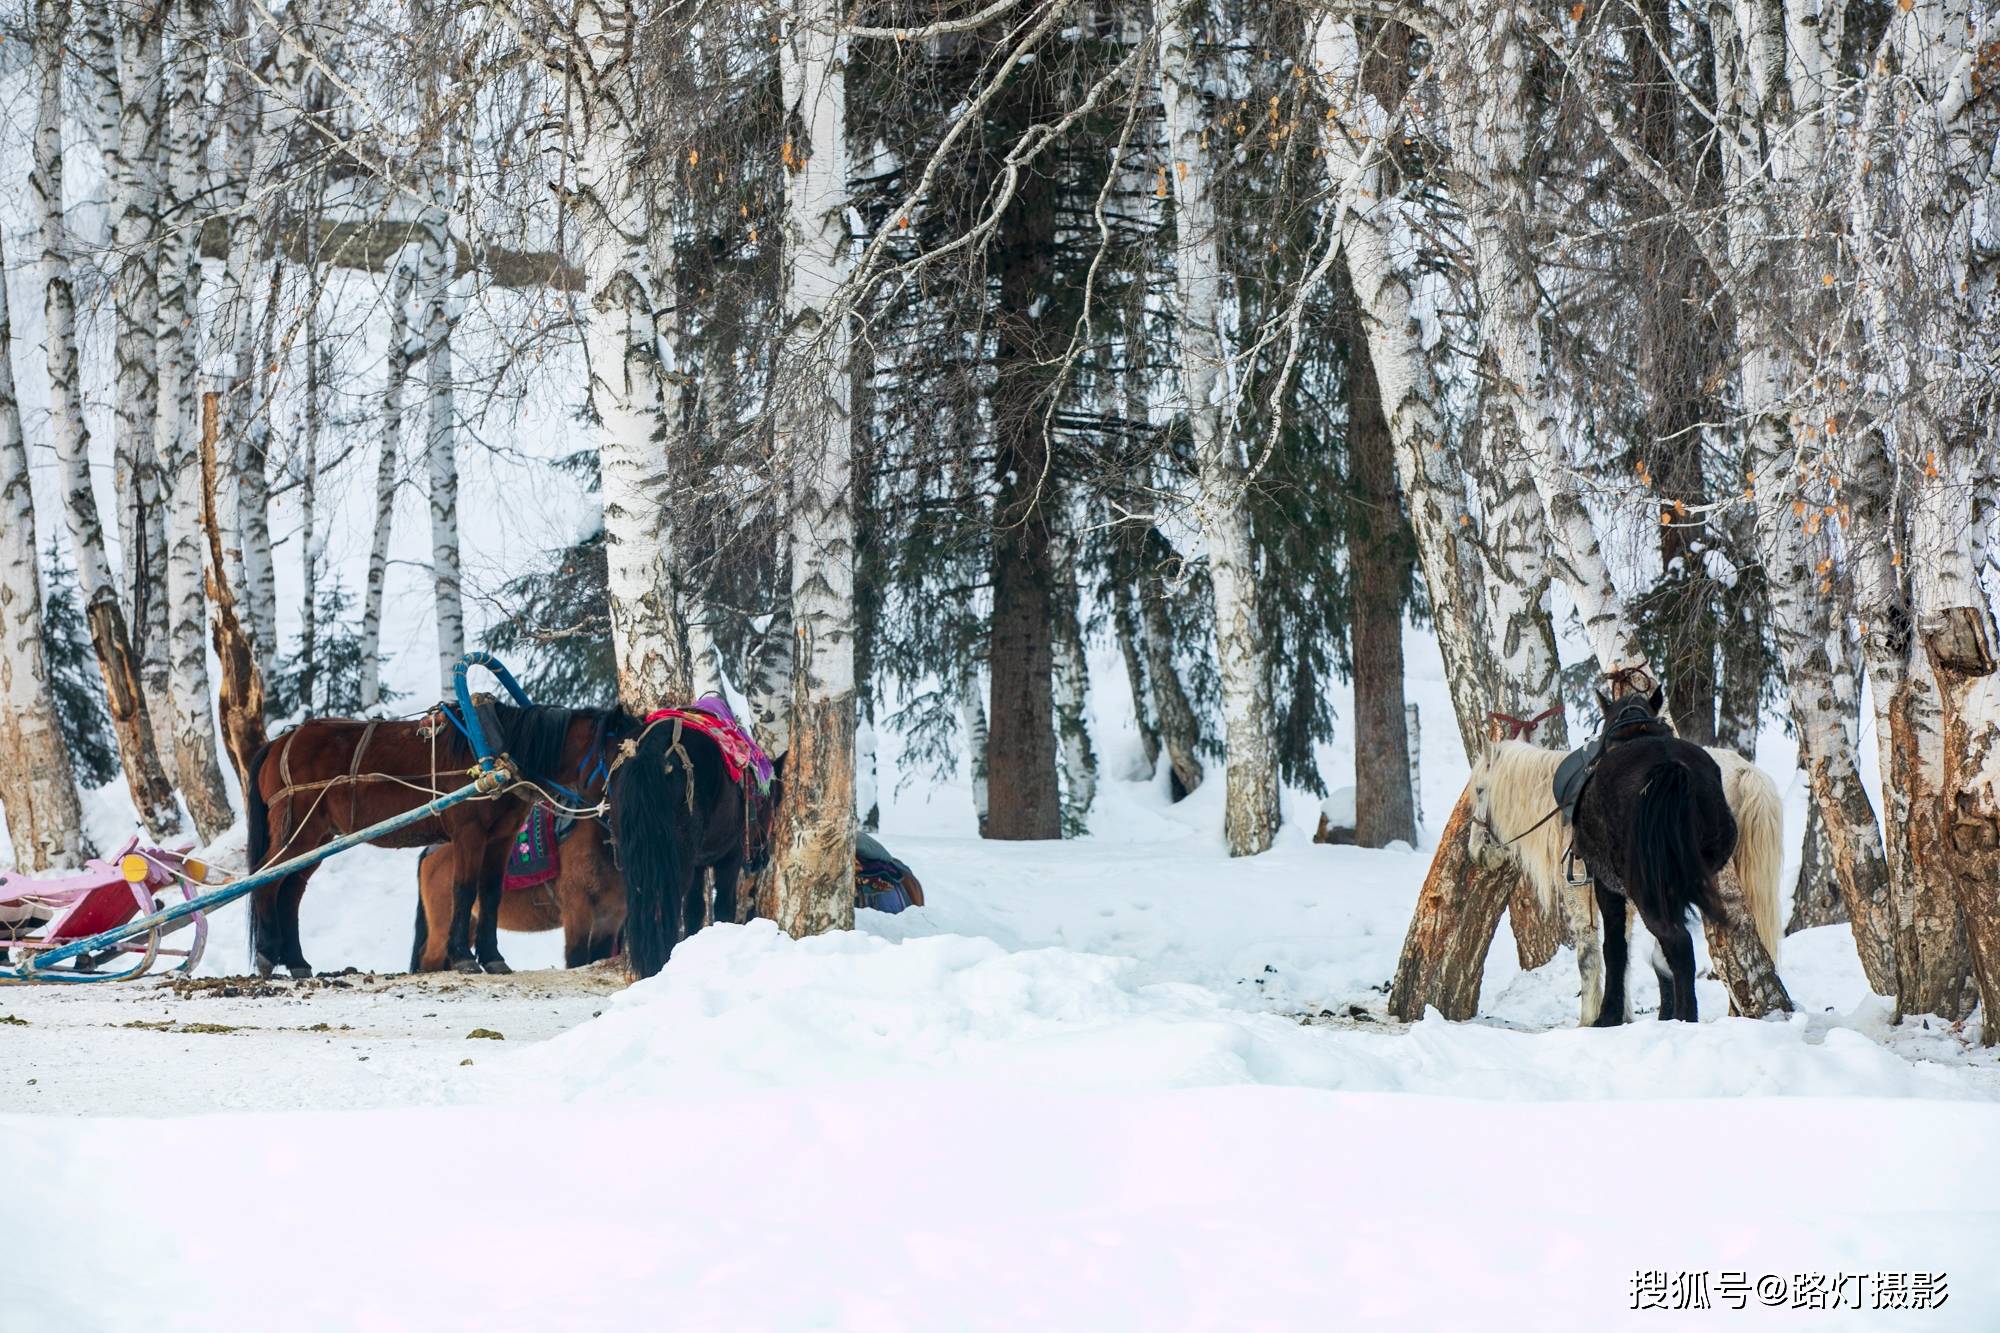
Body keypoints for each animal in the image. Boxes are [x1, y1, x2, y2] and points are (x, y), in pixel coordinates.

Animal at [600, 716, 772, 976]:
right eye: (766, 804)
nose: (763, 858)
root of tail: (650, 753)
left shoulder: (698, 864)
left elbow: (694, 909)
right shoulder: (729, 857)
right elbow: (723, 906)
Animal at [1472, 736, 1784, 1016]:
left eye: (1478, 790)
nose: (1475, 851)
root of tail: (1744, 771)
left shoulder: (1583, 895)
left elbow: (1591, 954)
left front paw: (1592, 1018)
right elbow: (1625, 952)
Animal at [1576, 688, 1736, 1020]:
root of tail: (1670, 767)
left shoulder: (1606, 885)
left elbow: (1615, 947)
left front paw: (1608, 1016)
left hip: (1643, 888)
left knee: (1678, 943)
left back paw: (1685, 1016)